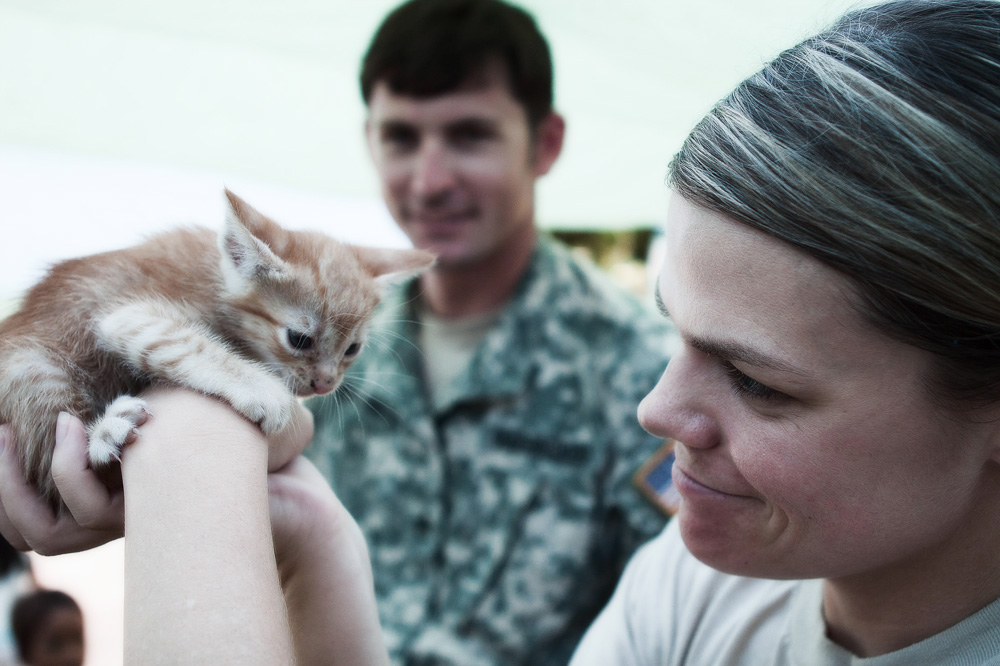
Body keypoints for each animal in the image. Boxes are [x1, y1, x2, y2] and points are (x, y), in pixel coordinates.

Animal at [0, 189, 434, 506]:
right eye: (299, 339)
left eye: (352, 349)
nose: (325, 383)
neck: (217, 277)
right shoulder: (129, 315)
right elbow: (188, 344)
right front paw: (263, 390)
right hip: (32, 369)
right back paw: (106, 432)